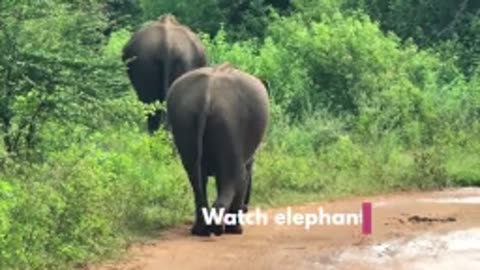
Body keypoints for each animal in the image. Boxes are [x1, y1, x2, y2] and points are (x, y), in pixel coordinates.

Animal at [166, 63, 270, 236]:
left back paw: (200, 230)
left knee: (196, 177)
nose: (247, 208)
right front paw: (236, 230)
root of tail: (207, 96)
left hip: (184, 120)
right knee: (233, 177)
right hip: (229, 123)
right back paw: (221, 228)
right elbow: (242, 175)